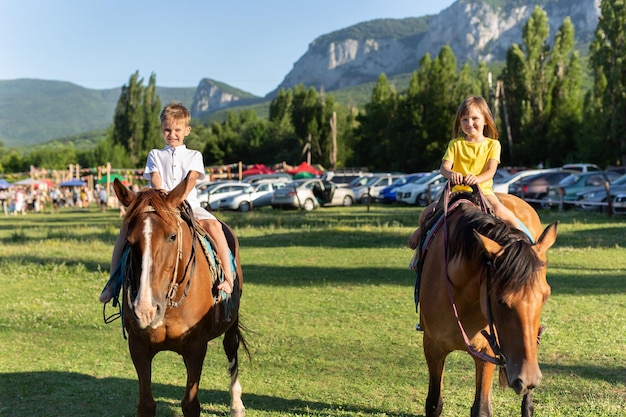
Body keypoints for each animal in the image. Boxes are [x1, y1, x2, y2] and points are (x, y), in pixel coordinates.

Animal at [111, 176, 247, 416]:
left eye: (172, 236)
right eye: (129, 240)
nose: (146, 309)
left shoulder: (196, 347)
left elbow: (190, 404)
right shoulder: (138, 346)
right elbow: (146, 404)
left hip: (231, 322)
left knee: (231, 348)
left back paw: (236, 404)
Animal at [414, 189, 556, 416]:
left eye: (545, 296)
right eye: (499, 300)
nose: (526, 379)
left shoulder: (487, 353)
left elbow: (481, 408)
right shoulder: (433, 347)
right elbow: (434, 403)